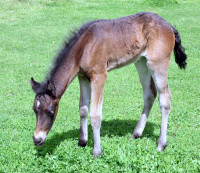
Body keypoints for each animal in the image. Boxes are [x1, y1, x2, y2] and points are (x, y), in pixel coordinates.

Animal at [30, 12, 188, 157]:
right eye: (35, 110)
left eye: (51, 112)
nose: (37, 139)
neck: (85, 46)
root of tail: (169, 25)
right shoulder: (83, 77)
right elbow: (83, 109)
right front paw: (82, 142)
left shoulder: (99, 76)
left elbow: (95, 115)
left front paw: (97, 151)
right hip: (141, 62)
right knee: (150, 94)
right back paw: (136, 134)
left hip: (157, 63)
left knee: (165, 98)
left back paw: (161, 144)